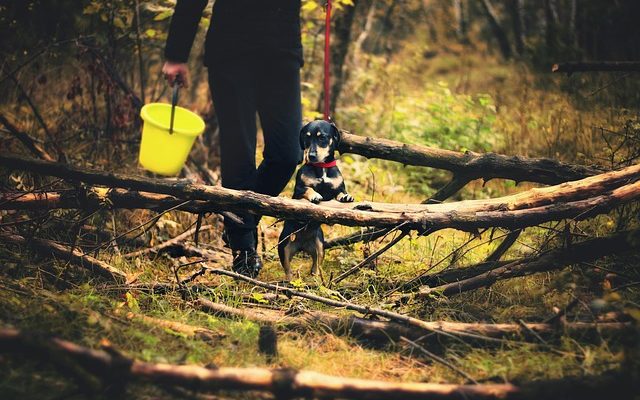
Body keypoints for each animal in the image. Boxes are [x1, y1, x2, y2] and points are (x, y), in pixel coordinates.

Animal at [276, 120, 352, 280]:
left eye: (322, 137)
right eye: (307, 137)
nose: (311, 156)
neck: (321, 167)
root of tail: (302, 245)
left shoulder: (338, 188)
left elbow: (340, 193)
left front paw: (346, 197)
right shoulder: (299, 190)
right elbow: (308, 189)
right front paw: (315, 195)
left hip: (320, 247)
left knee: (315, 266)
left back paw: (316, 277)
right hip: (284, 246)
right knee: (287, 268)